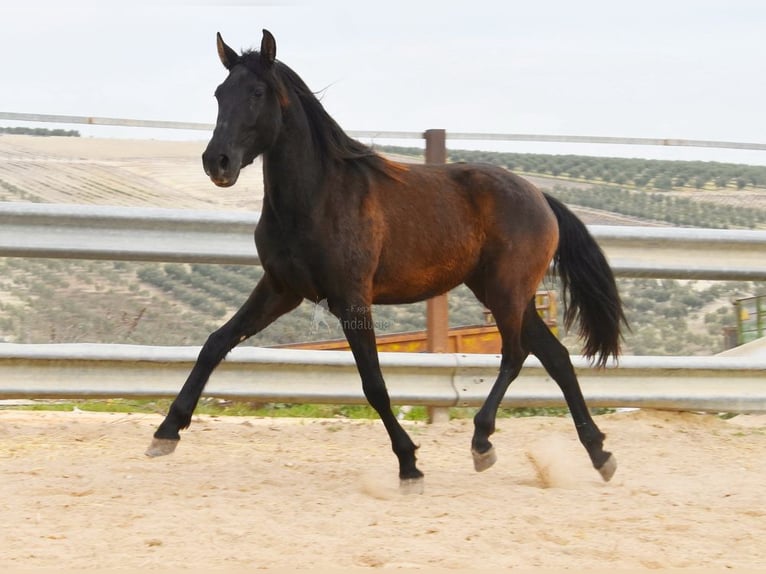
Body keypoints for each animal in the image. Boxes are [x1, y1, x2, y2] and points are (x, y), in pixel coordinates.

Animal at [146, 29, 632, 492]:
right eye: (219, 93)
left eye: (258, 92)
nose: (217, 162)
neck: (317, 198)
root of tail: (539, 197)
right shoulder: (281, 290)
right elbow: (215, 343)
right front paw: (166, 433)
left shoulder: (351, 299)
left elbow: (374, 384)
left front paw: (409, 466)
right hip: (504, 293)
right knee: (555, 357)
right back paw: (600, 454)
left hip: (506, 292)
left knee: (517, 354)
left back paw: (482, 442)